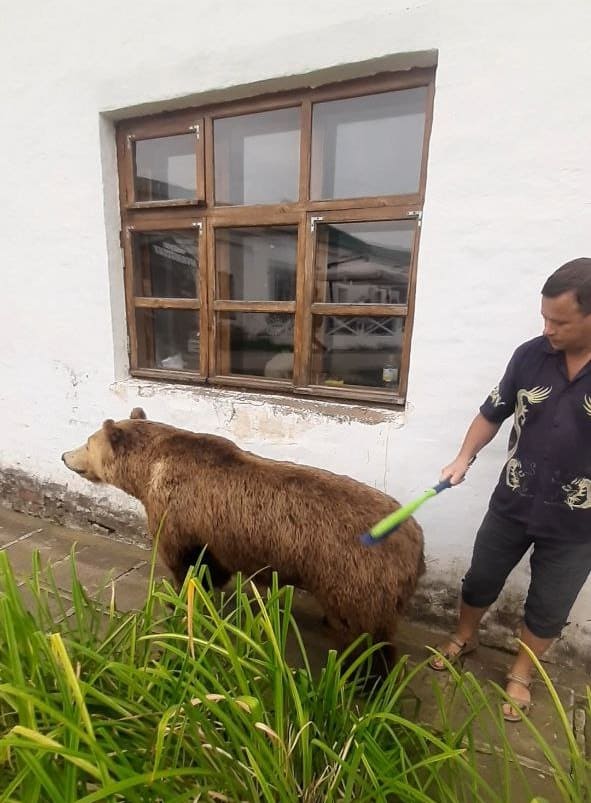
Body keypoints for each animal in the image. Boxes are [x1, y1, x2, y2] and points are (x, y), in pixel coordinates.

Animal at [62, 412, 426, 668]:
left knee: (367, 636)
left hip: (356, 573)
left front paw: (177, 599)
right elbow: (212, 566)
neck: (148, 470)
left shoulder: (177, 512)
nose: (65, 455)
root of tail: (416, 538)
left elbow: (185, 562)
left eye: (87, 443)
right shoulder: (212, 532)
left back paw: (364, 677)